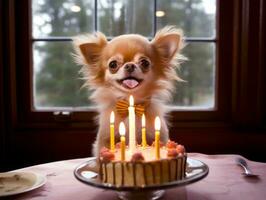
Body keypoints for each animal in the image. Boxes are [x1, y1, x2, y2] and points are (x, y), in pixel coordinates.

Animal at [72, 25, 185, 155]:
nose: (130, 65)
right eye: (112, 64)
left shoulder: (159, 134)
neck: (131, 102)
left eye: (145, 63)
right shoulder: (105, 138)